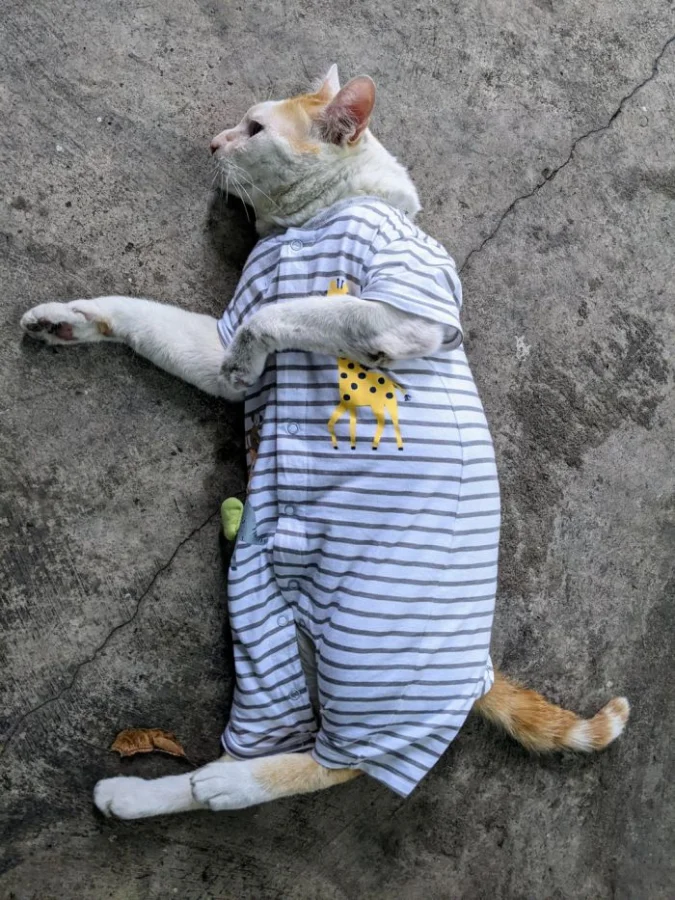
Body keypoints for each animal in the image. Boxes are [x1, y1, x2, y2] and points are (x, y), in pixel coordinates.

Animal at [20, 65, 629, 819]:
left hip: (362, 666)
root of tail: (478, 675)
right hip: (258, 612)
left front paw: (255, 354)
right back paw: (142, 793)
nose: (213, 141)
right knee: (274, 733)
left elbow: (289, 314)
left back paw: (213, 786)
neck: (307, 225)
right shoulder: (212, 339)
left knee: (333, 765)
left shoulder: (403, 316)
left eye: (253, 129)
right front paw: (65, 321)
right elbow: (138, 314)